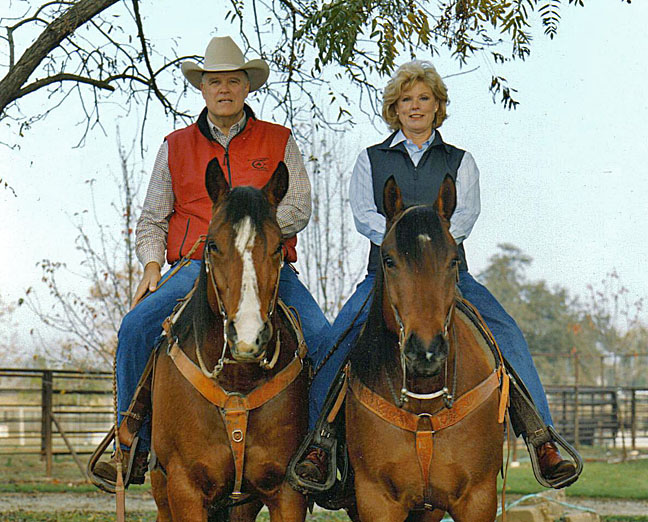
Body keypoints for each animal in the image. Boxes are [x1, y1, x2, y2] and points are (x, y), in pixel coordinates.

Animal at [151, 158, 308, 520]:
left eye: (278, 246)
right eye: (212, 244)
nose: (248, 337)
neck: (238, 380)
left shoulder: (286, 492)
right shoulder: (184, 489)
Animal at [346, 176, 508, 520]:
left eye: (453, 260)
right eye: (389, 260)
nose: (426, 351)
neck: (426, 405)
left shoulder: (477, 499)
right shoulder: (375, 500)